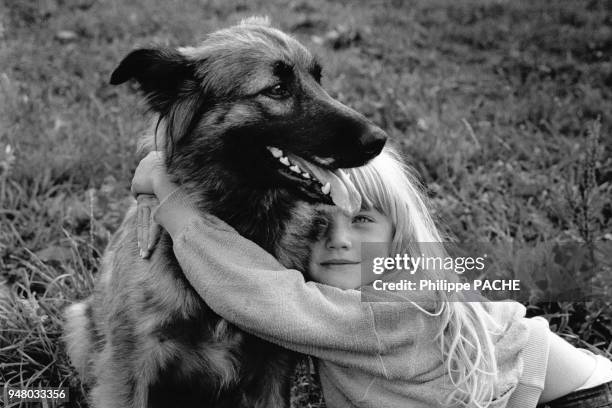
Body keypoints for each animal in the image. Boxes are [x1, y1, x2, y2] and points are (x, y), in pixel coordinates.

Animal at [63, 16, 388, 408]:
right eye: (277, 88)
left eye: (318, 79)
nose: (379, 139)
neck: (236, 229)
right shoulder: (128, 368)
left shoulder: (273, 365)